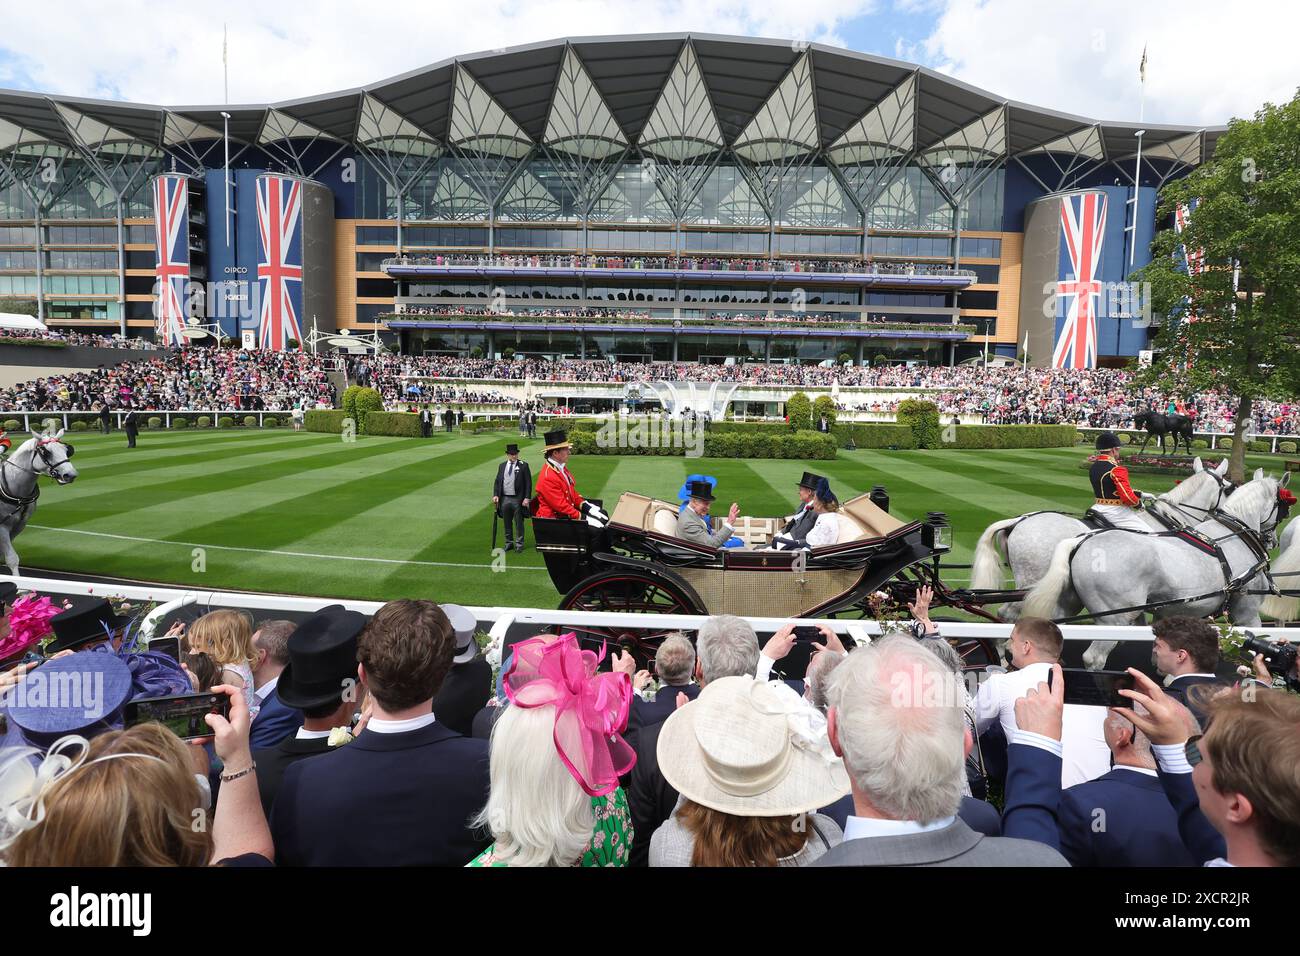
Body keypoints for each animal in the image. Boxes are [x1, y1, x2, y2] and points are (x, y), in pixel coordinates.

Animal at [0, 429, 78, 574]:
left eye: (67, 449)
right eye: (46, 452)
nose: (70, 475)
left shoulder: (19, 525)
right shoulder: (2, 526)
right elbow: (12, 559)